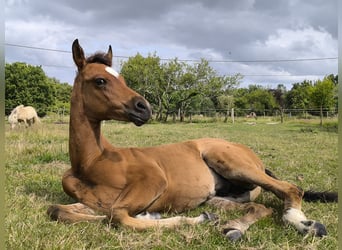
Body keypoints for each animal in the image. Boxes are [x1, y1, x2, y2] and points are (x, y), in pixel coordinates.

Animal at [47, 40, 336, 241]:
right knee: (259, 207)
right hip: (222, 197)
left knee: (291, 189)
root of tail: (255, 158)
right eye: (100, 80)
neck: (92, 163)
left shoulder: (153, 180)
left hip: (231, 163)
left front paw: (195, 221)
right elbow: (58, 210)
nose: (144, 108)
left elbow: (118, 216)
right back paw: (233, 229)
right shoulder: (93, 202)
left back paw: (307, 225)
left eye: (123, 79)